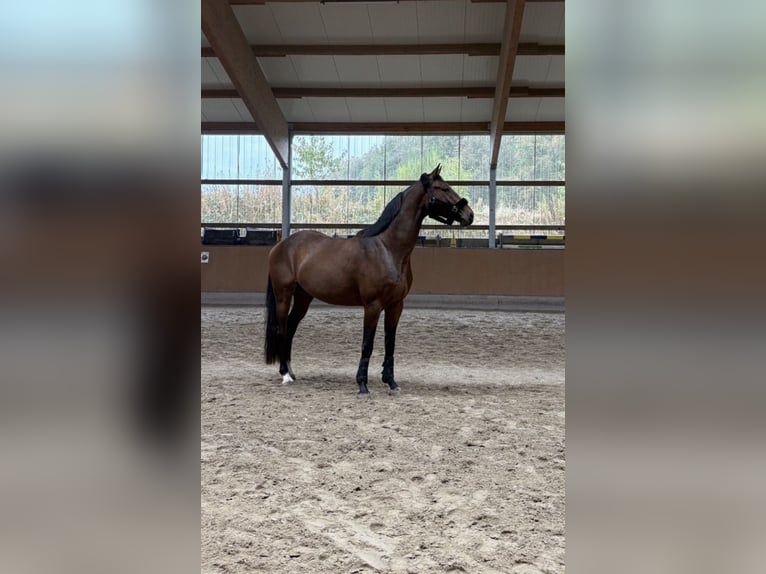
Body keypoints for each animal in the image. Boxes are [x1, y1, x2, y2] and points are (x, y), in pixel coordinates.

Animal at [264, 164, 474, 397]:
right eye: (443, 188)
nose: (469, 214)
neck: (387, 249)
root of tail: (282, 245)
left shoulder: (395, 305)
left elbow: (390, 343)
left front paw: (391, 382)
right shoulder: (372, 305)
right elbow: (368, 344)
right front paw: (362, 384)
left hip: (303, 297)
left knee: (291, 327)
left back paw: (292, 372)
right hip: (283, 296)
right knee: (282, 329)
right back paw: (284, 374)